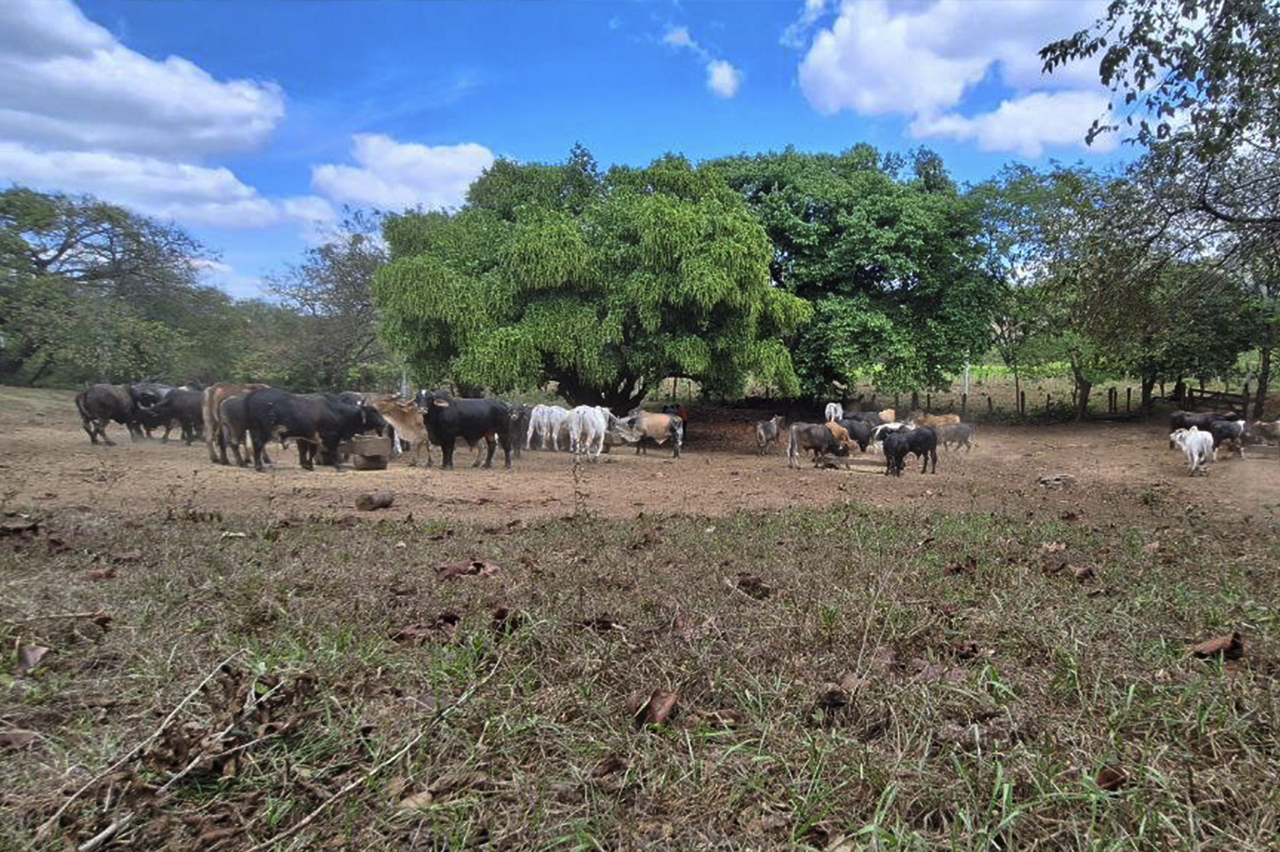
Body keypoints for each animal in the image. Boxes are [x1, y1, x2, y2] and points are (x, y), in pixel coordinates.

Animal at [240, 386, 378, 470]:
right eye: (372, 411)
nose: (382, 423)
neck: (335, 409)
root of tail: (252, 395)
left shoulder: (310, 436)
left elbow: (308, 451)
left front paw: (307, 465)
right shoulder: (329, 435)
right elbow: (331, 450)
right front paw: (338, 465)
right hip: (264, 431)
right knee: (258, 444)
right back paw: (258, 466)